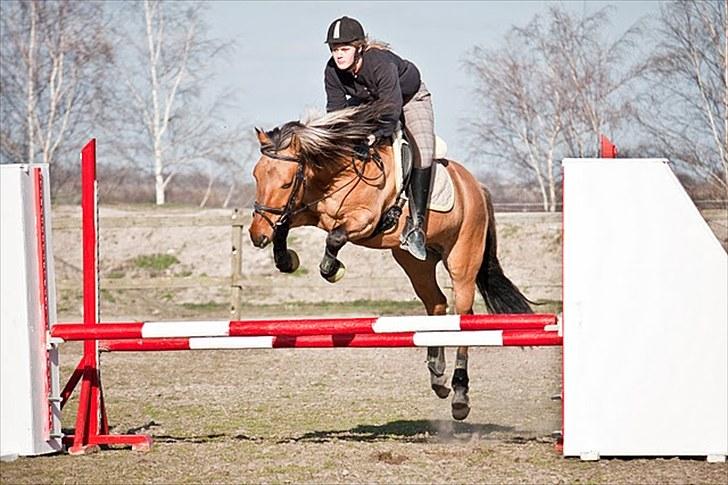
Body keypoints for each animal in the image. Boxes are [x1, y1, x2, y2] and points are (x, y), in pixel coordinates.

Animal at [247, 103, 532, 420]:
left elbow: (334, 238)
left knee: (463, 313)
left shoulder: (365, 220)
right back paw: (437, 375)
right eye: (256, 176)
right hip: (416, 263)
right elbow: (284, 225)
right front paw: (286, 259)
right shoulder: (307, 209)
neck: (339, 173)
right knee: (436, 303)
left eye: (286, 183)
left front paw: (333, 270)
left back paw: (460, 394)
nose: (256, 235)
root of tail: (477, 187)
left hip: (462, 258)